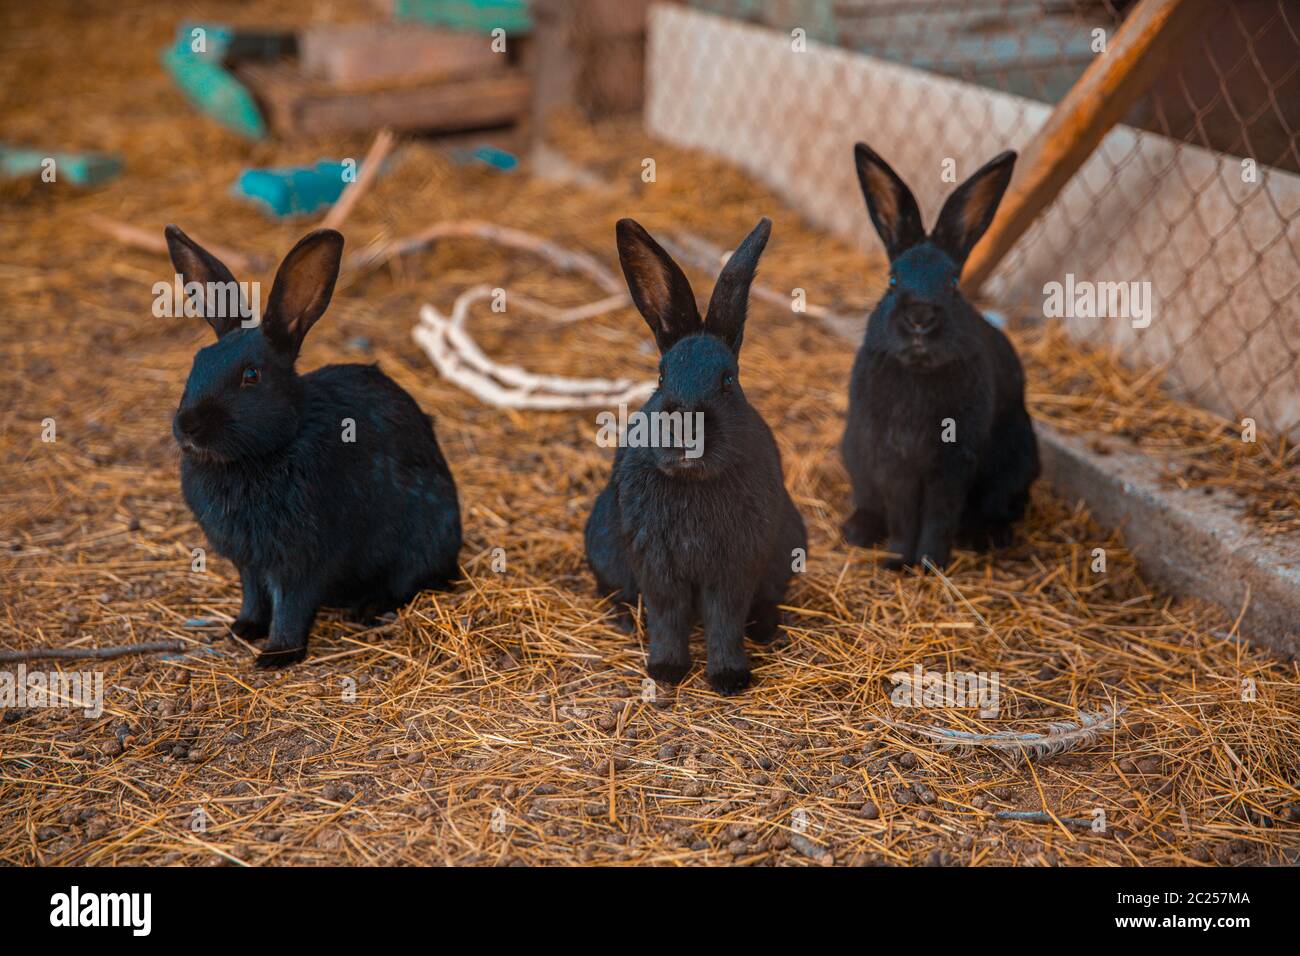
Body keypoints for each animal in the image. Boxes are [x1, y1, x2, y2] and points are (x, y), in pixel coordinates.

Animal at [166, 227, 462, 671]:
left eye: (251, 375)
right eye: (197, 362)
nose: (187, 427)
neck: (269, 450)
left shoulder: (302, 559)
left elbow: (292, 605)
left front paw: (277, 654)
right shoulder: (249, 563)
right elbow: (254, 596)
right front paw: (242, 629)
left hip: (423, 538)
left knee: (410, 583)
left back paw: (368, 609)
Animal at [587, 217, 806, 697]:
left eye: (728, 380)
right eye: (661, 377)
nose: (684, 432)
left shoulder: (735, 566)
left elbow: (725, 620)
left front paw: (729, 678)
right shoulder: (656, 564)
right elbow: (668, 617)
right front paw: (666, 671)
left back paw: (766, 629)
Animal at [842, 145, 1034, 572]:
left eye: (953, 283)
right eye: (893, 280)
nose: (920, 318)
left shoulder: (952, 464)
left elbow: (938, 516)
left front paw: (930, 564)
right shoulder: (893, 460)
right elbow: (902, 513)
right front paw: (898, 560)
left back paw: (991, 537)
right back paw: (857, 531)